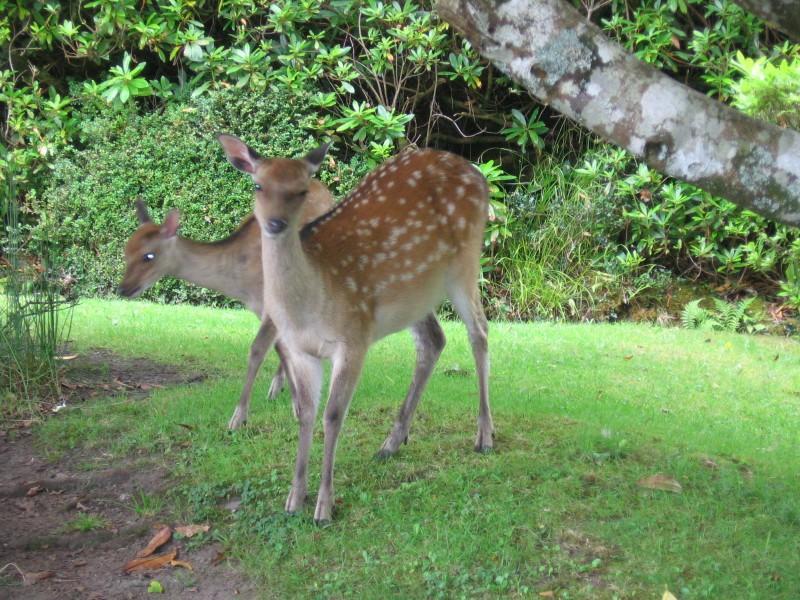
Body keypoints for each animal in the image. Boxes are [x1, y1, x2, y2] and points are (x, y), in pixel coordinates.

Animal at [117, 185, 332, 424]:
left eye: (148, 256)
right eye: (126, 252)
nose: (123, 289)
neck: (241, 281)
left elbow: (257, 350)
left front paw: (238, 418)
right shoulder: (260, 307)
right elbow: (281, 348)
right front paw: (293, 403)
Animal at [219, 134, 494, 524]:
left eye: (302, 190)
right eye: (258, 185)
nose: (274, 223)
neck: (310, 303)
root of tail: (478, 174)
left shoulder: (353, 339)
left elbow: (333, 416)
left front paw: (324, 506)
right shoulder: (300, 351)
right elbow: (306, 414)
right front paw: (294, 498)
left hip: (465, 262)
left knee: (479, 332)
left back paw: (484, 435)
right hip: (414, 294)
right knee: (434, 340)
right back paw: (392, 442)